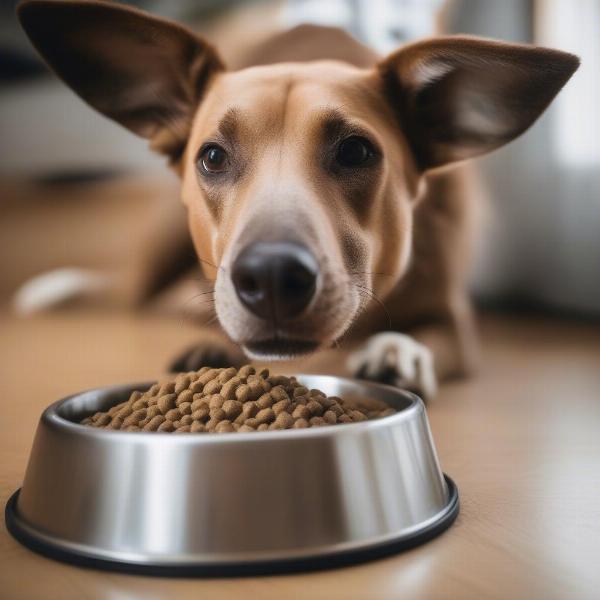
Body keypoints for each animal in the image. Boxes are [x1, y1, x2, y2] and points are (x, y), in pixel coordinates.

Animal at [17, 2, 576, 400]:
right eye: (212, 156)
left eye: (356, 151)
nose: (269, 278)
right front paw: (214, 350)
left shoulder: (455, 319)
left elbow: (426, 336)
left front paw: (396, 351)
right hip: (161, 248)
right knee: (136, 293)